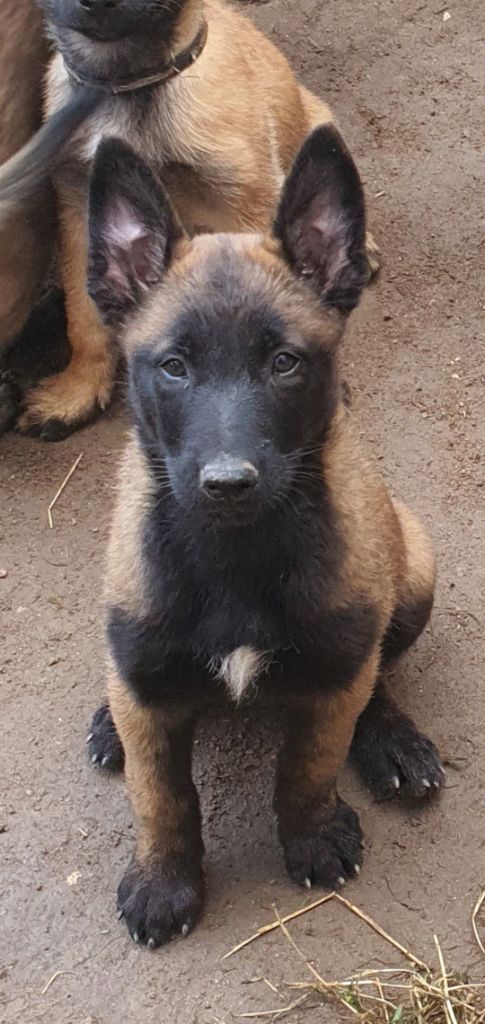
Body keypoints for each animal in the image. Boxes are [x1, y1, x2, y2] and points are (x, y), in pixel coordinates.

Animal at [84, 124, 442, 947]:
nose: (229, 482)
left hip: (412, 567)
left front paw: (310, 836)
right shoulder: (149, 687)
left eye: (284, 363)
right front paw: (164, 882)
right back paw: (108, 721)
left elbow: (307, 767)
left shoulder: (336, 672)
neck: (235, 557)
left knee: (378, 673)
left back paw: (392, 739)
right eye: (173, 367)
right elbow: (162, 798)